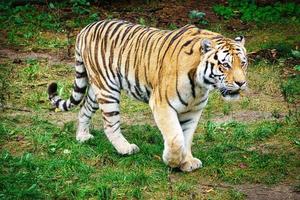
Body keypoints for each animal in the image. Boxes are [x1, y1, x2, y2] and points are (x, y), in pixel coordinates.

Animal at [48, 19, 247, 172]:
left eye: (243, 63)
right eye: (225, 65)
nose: (241, 83)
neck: (200, 85)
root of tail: (85, 28)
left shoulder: (193, 111)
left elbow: (187, 137)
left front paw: (188, 162)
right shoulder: (162, 105)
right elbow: (176, 138)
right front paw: (172, 161)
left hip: (96, 88)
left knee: (84, 109)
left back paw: (82, 137)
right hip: (108, 89)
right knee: (110, 124)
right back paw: (126, 148)